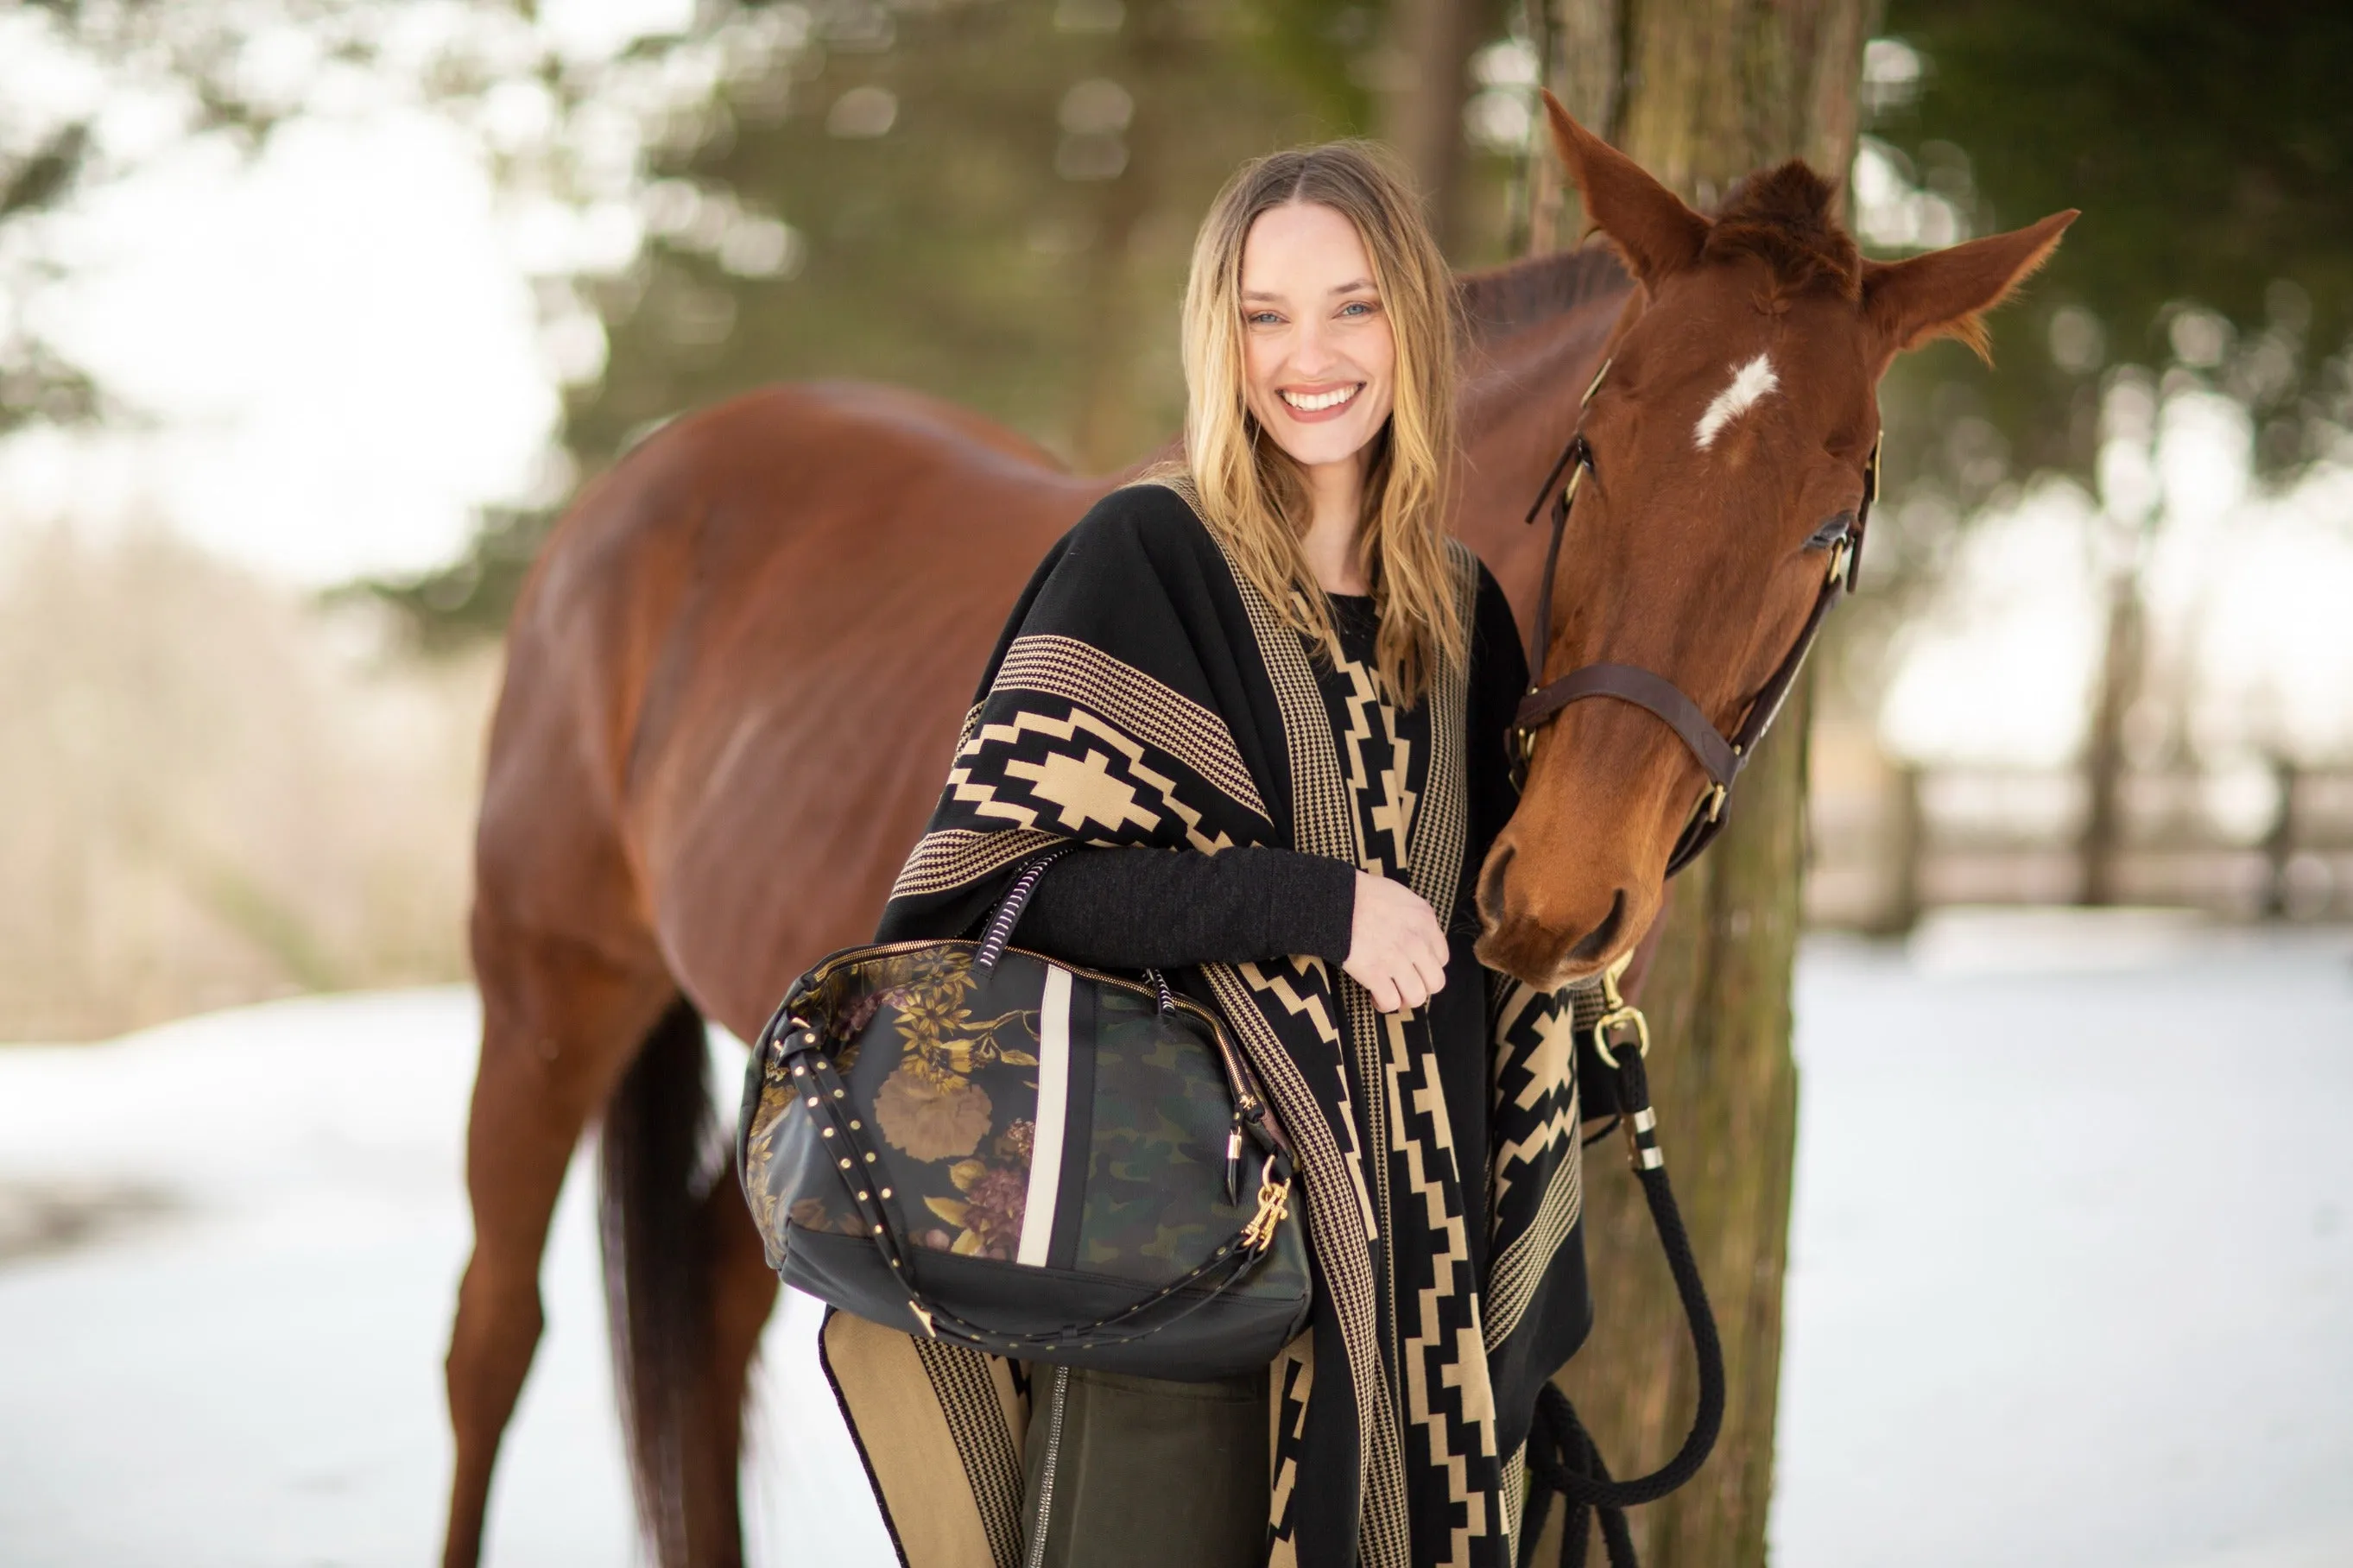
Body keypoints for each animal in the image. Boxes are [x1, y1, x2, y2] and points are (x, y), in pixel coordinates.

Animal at [445, 100, 2079, 1563]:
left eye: (1829, 523)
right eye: (1594, 452)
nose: (1555, 896)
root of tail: (642, 485)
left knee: (713, 1317)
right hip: (550, 995)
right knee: (492, 1341)